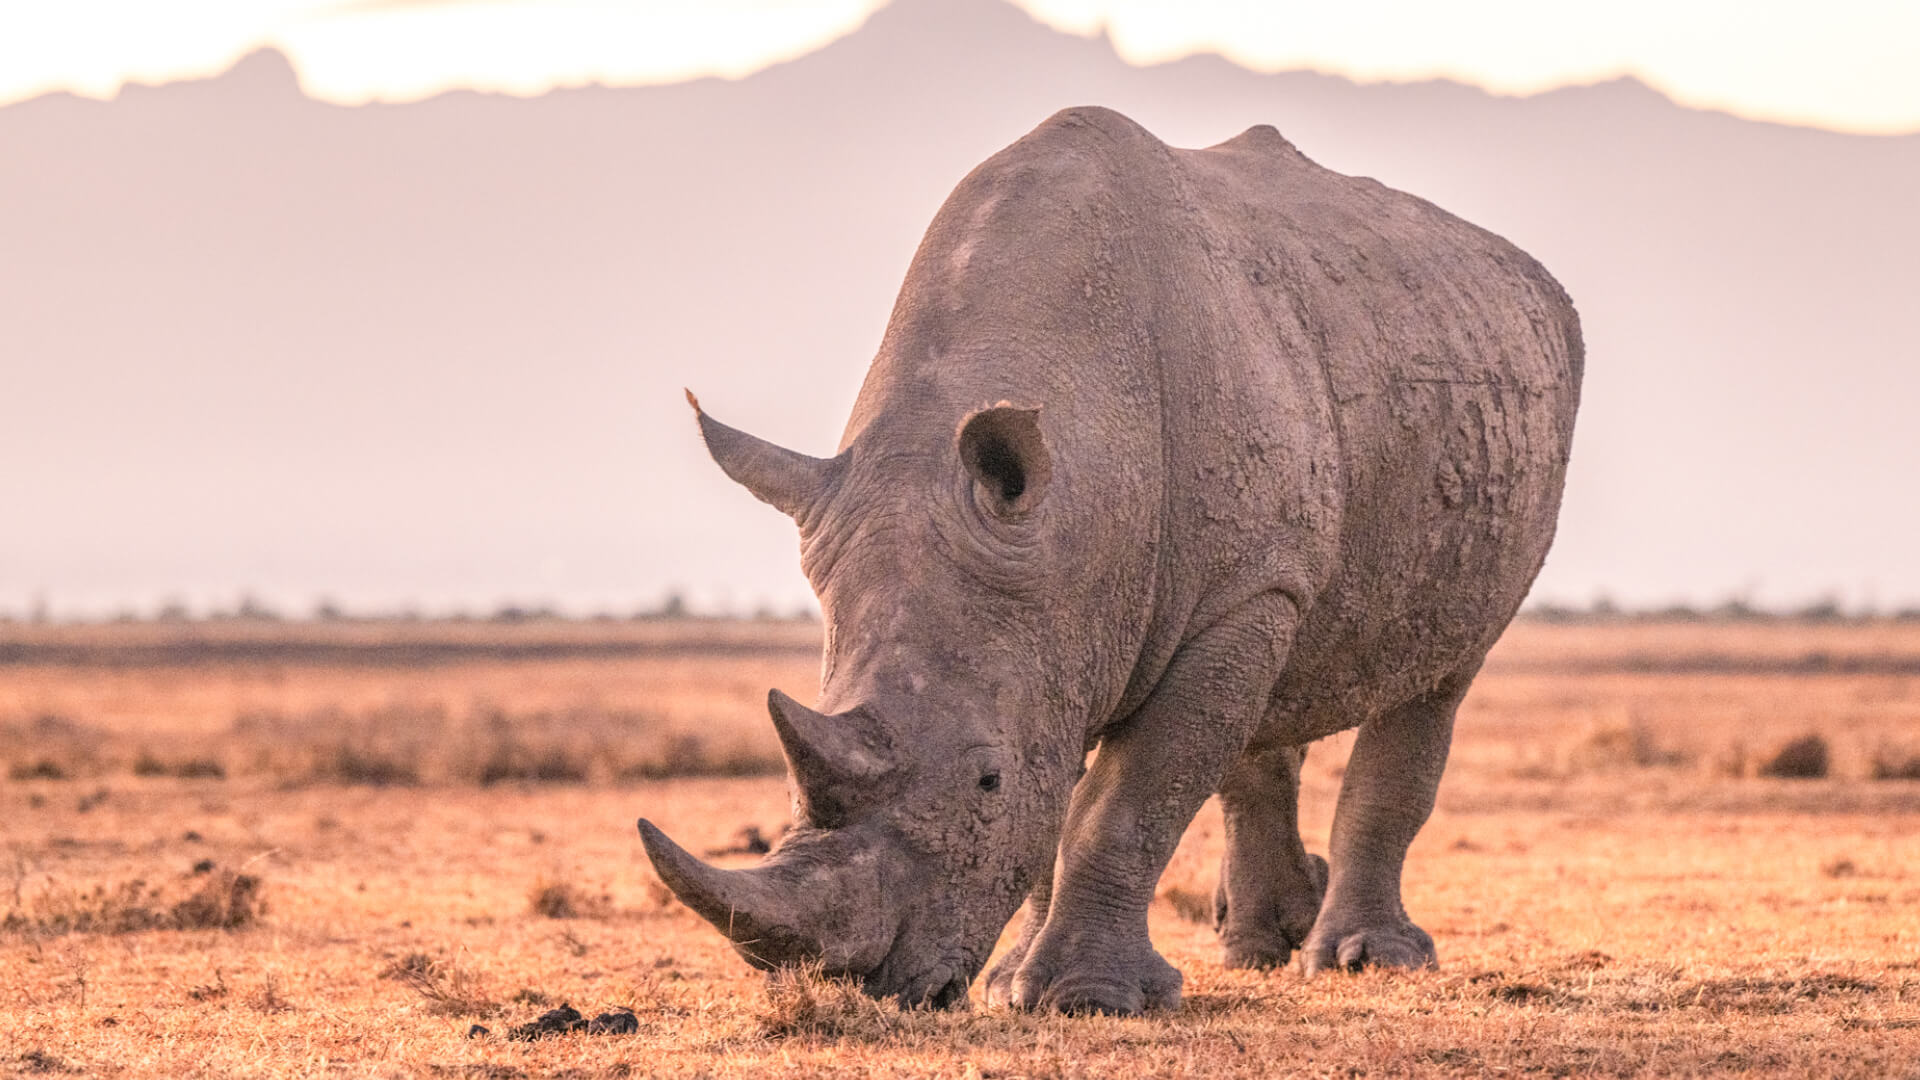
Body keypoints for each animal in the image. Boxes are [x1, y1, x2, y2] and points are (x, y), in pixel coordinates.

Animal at [638, 106, 1582, 1015]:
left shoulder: (1232, 593)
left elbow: (1124, 800)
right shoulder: (1068, 604)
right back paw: (1258, 948)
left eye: (987, 781)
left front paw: (1084, 999)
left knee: (1441, 671)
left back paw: (1362, 960)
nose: (863, 985)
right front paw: (1009, 983)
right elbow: (1068, 798)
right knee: (1268, 699)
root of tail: (1530, 276)